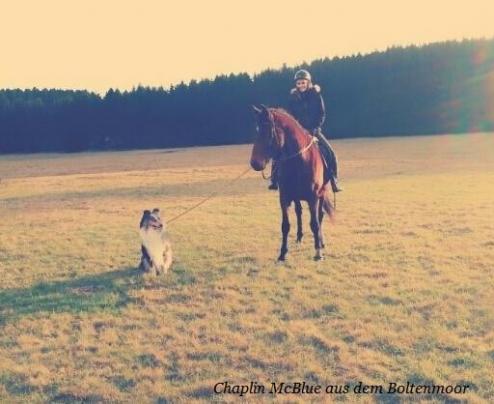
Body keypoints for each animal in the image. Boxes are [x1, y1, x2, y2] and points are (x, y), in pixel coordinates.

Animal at [249, 105, 334, 260]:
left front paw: (318, 253)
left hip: (321, 193)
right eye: (257, 130)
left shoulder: (313, 197)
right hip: (296, 196)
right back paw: (299, 236)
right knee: (298, 212)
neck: (299, 160)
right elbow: (285, 225)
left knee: (320, 216)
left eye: (267, 132)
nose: (254, 163)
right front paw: (282, 253)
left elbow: (315, 223)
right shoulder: (284, 197)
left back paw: (321, 241)